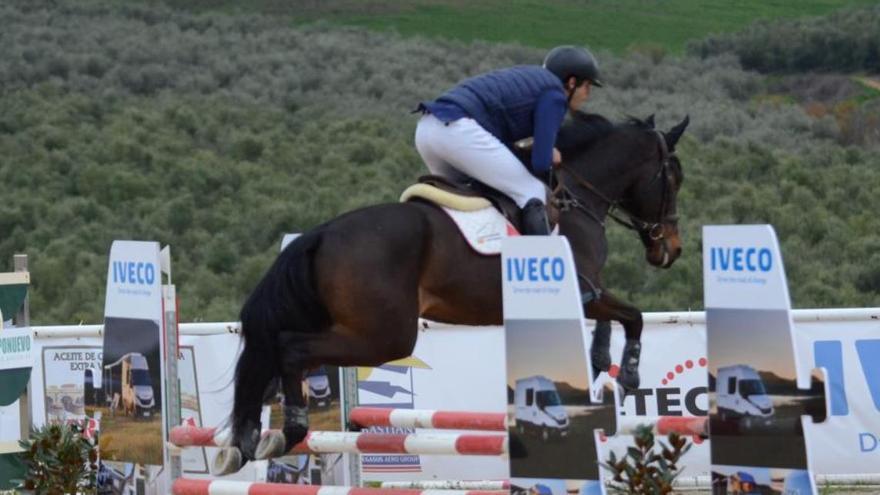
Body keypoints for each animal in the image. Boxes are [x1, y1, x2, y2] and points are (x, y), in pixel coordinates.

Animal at [218, 111, 688, 472]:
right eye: (674, 177)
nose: (670, 249)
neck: (574, 197)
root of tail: (321, 234)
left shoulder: (585, 293)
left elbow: (610, 319)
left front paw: (600, 361)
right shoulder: (584, 289)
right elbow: (632, 316)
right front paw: (627, 376)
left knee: (272, 356)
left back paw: (250, 440)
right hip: (385, 336)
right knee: (291, 348)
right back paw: (290, 430)